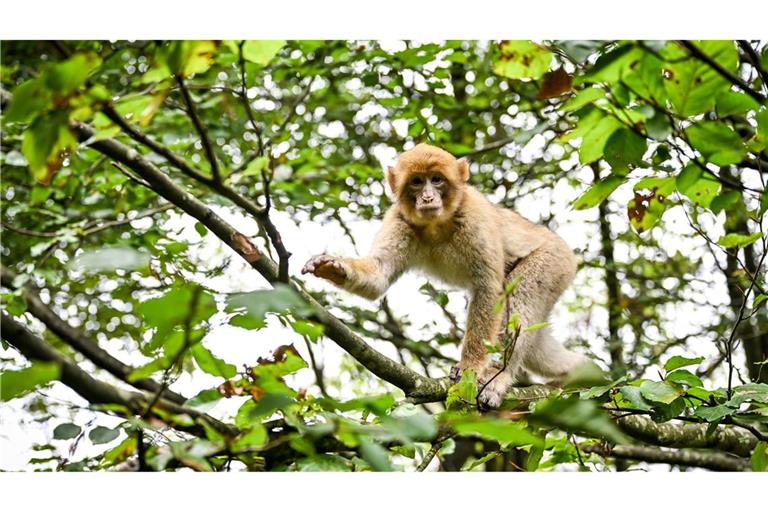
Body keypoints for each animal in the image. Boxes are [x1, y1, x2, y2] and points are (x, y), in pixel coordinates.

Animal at [300, 143, 584, 408]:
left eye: (436, 179)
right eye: (416, 182)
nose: (427, 197)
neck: (437, 223)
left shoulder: (475, 217)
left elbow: (489, 288)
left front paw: (470, 367)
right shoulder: (399, 220)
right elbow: (379, 275)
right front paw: (333, 266)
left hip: (553, 261)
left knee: (520, 298)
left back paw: (499, 377)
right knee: (536, 344)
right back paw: (576, 372)